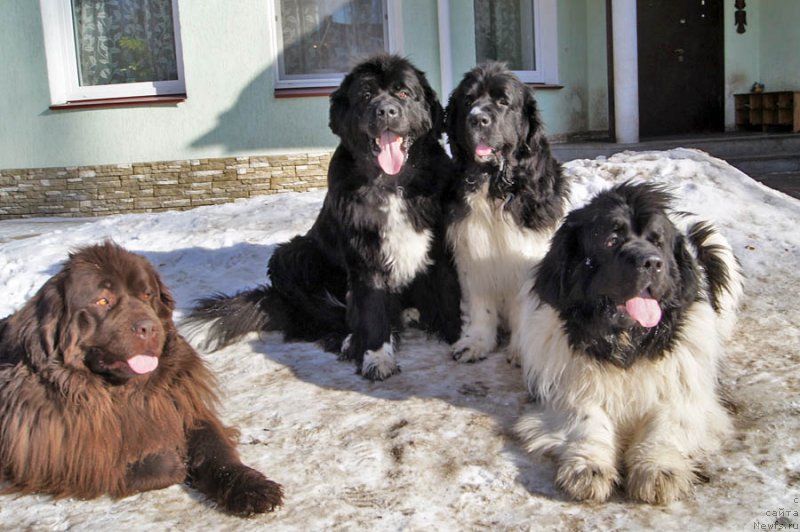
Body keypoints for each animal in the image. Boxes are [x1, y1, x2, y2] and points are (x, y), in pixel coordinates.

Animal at [0, 241, 282, 516]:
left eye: (147, 295)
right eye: (103, 301)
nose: (149, 327)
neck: (124, 392)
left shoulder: (182, 404)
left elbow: (215, 450)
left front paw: (253, 488)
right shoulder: (49, 448)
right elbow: (106, 462)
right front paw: (173, 460)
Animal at [188, 56, 460, 380]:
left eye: (404, 93)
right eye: (366, 95)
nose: (386, 110)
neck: (392, 183)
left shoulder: (440, 247)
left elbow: (450, 296)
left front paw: (463, 337)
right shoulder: (365, 252)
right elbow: (372, 310)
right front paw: (376, 357)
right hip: (292, 255)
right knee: (327, 318)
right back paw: (351, 340)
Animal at [444, 60, 568, 364]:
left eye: (503, 102)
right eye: (468, 101)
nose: (477, 119)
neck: (494, 185)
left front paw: (522, 350)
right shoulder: (470, 247)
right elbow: (479, 302)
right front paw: (476, 342)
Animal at [512, 182, 744, 502]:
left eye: (658, 242)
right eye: (611, 240)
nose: (651, 262)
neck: (625, 344)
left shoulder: (685, 390)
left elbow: (666, 422)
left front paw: (657, 468)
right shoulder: (563, 386)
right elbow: (586, 416)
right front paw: (588, 467)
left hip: (717, 247)